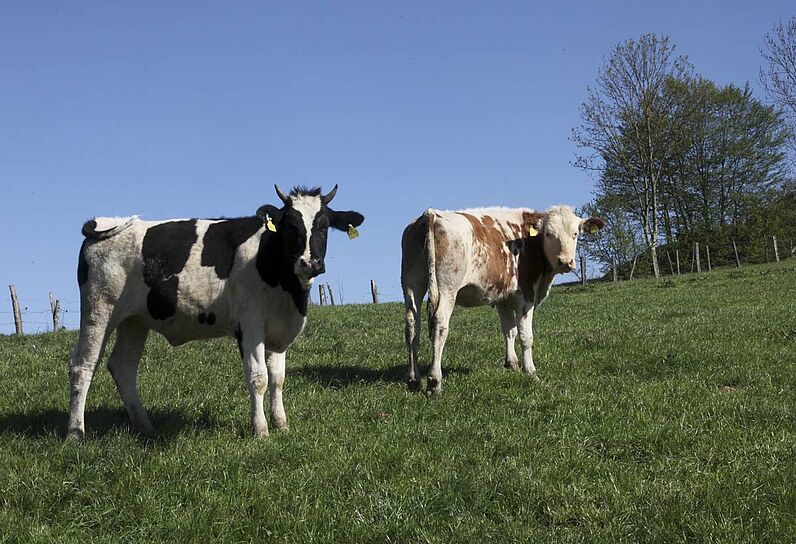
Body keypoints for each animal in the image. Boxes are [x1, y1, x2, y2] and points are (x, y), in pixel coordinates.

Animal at [67, 185, 364, 440]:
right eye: (291, 225)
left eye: (324, 226)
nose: (309, 263)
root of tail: (101, 225)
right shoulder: (250, 325)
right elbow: (258, 377)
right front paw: (261, 430)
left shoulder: (280, 331)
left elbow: (278, 379)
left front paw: (282, 425)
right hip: (99, 310)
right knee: (83, 366)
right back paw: (75, 433)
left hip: (134, 321)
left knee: (123, 367)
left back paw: (145, 427)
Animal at [402, 204, 608, 392]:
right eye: (548, 234)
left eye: (575, 233)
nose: (565, 261)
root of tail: (431, 214)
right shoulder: (527, 297)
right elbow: (526, 336)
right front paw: (531, 372)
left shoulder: (503, 299)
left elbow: (510, 331)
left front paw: (513, 365)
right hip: (447, 289)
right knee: (440, 326)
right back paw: (434, 382)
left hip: (412, 285)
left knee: (412, 327)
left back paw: (414, 379)